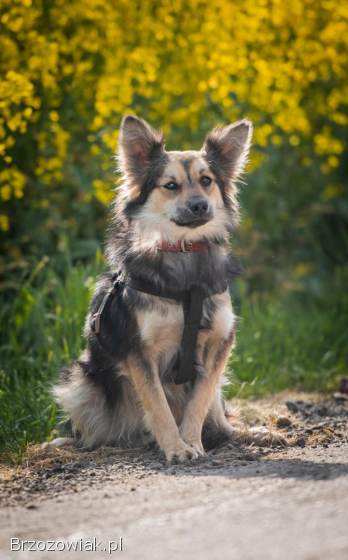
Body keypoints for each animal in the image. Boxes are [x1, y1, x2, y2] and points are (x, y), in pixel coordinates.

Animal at [52, 115, 253, 464]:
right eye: (170, 185)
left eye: (207, 180)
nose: (200, 206)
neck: (184, 252)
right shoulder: (139, 352)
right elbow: (158, 406)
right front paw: (175, 447)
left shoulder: (219, 341)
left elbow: (200, 399)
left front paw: (192, 440)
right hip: (80, 382)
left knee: (217, 406)